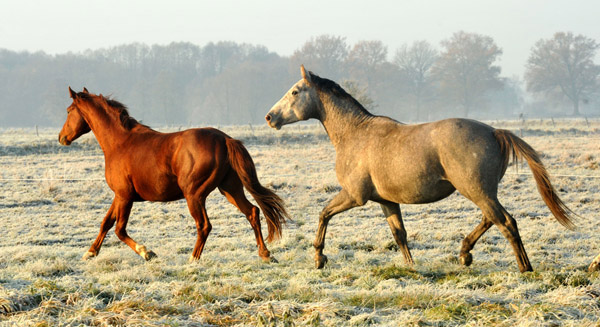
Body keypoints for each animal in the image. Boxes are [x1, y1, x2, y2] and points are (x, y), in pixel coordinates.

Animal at [59, 88, 288, 264]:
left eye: (69, 111)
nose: (62, 137)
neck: (120, 143)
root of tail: (224, 139)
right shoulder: (119, 195)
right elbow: (105, 223)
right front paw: (90, 252)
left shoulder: (125, 196)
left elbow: (119, 230)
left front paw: (147, 253)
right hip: (229, 189)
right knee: (252, 212)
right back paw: (266, 255)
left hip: (194, 195)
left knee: (204, 226)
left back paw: (193, 259)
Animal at [264, 65, 576, 272]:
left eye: (294, 92)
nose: (270, 117)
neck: (355, 134)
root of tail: (494, 132)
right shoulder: (386, 201)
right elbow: (399, 234)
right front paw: (412, 267)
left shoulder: (354, 196)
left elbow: (324, 214)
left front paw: (319, 257)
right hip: (481, 192)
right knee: (491, 219)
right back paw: (465, 254)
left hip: (476, 191)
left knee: (506, 222)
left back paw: (525, 268)